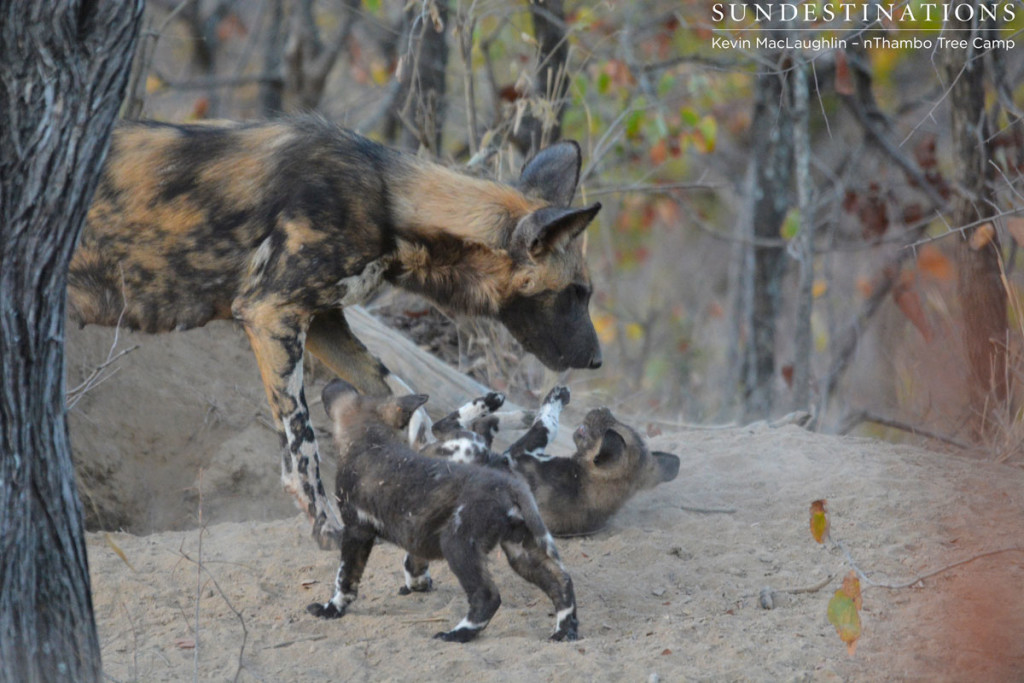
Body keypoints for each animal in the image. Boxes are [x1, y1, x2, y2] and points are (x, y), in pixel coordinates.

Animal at [307, 376, 581, 643]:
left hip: (457, 543)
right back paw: (564, 630)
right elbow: (414, 561)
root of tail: (506, 482)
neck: (369, 442)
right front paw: (418, 583)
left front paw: (331, 609)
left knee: (488, 596)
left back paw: (458, 633)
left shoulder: (356, 531)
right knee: (562, 582)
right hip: (520, 550)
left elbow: (344, 580)